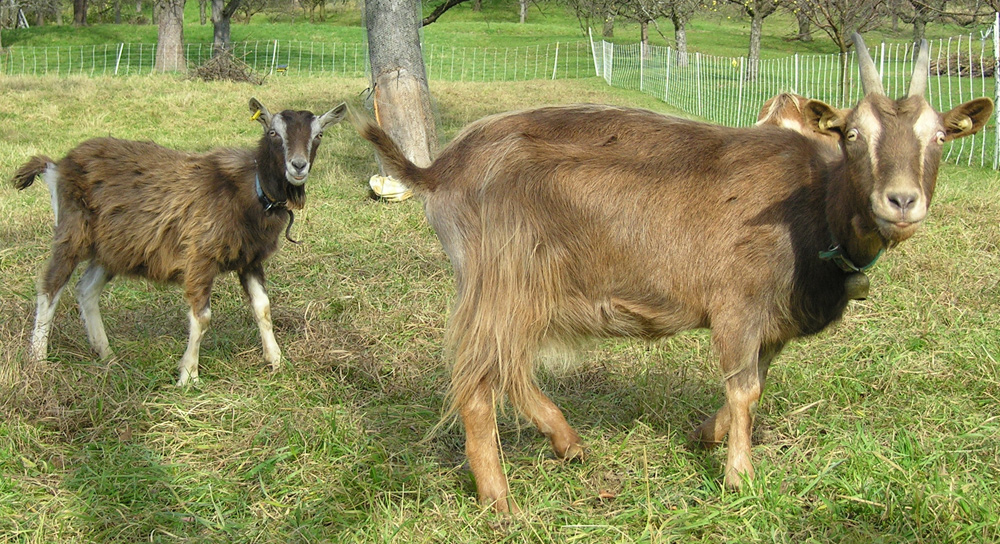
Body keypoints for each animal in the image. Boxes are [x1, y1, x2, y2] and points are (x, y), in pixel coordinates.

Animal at [9, 99, 348, 386]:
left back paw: (107, 355)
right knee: (51, 286)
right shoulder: (200, 257)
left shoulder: (250, 259)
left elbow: (263, 308)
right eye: (273, 132)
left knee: (86, 289)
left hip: (115, 247)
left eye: (318, 135)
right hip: (72, 231)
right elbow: (202, 317)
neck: (248, 191)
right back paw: (38, 360)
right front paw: (189, 376)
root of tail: (57, 165)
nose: (298, 166)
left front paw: (277, 361)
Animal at [352, 36, 992, 512]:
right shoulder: (736, 305)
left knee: (507, 369)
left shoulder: (773, 323)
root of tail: (439, 168)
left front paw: (703, 438)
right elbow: (744, 388)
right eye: (853, 134)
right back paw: (500, 501)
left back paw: (568, 444)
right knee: (477, 382)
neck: (813, 203)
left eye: (940, 135)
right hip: (503, 281)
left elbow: (752, 384)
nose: (901, 200)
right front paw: (739, 478)